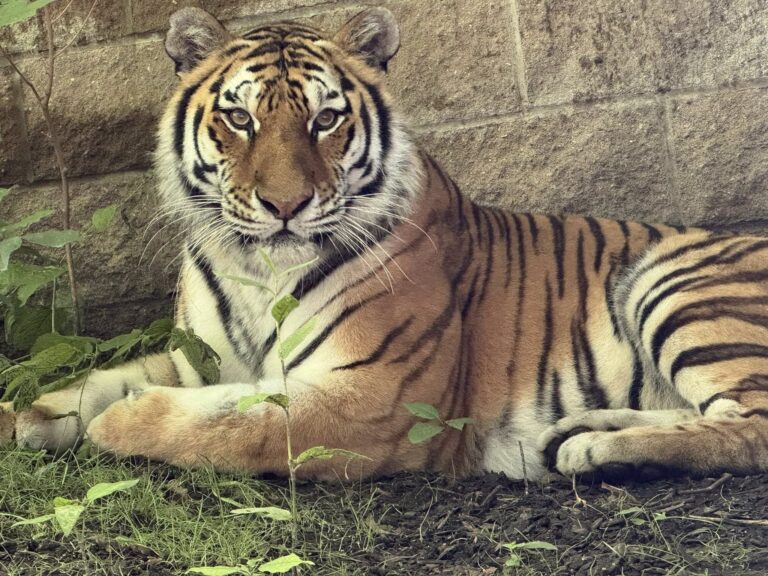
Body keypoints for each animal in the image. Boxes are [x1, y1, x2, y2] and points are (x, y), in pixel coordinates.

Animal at [4, 6, 768, 482]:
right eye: (240, 119)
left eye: (325, 119)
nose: (286, 206)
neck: (256, 269)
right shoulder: (202, 359)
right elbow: (97, 380)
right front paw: (26, 417)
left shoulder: (372, 398)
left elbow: (230, 427)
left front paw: (122, 421)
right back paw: (579, 434)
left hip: (676, 283)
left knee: (750, 425)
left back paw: (604, 453)